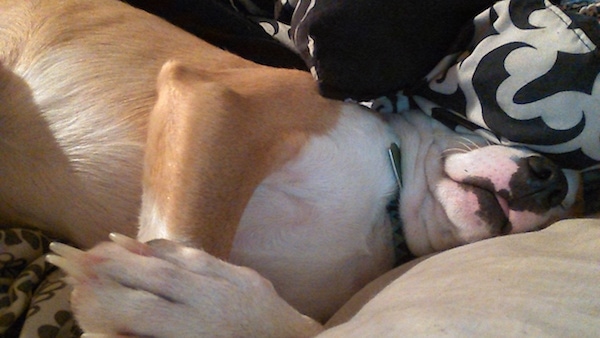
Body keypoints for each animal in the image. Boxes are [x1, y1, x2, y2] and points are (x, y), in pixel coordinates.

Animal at [0, 0, 584, 336]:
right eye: (466, 120)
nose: (552, 180)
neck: (383, 212)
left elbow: (300, 325)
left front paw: (193, 303)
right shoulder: (218, 103)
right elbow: (184, 236)